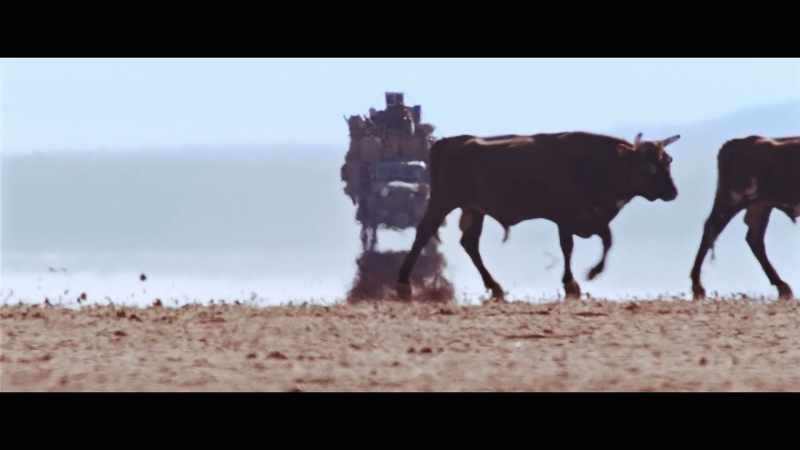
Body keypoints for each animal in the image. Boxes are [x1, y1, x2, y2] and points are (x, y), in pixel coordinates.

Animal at [396, 131, 681, 301]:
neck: (599, 163)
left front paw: (593, 272)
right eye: (648, 167)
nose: (673, 192)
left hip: (474, 210)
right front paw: (573, 284)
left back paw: (495, 286)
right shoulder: (565, 217)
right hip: (442, 202)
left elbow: (608, 240)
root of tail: (449, 141)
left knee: (469, 244)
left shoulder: (593, 218)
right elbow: (568, 247)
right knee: (423, 234)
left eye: (668, 161)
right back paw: (403, 282)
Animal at [690, 135, 800, 301]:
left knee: (754, 239)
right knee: (712, 229)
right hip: (733, 200)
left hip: (760, 206)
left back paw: (782, 287)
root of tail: (735, 143)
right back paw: (698, 288)